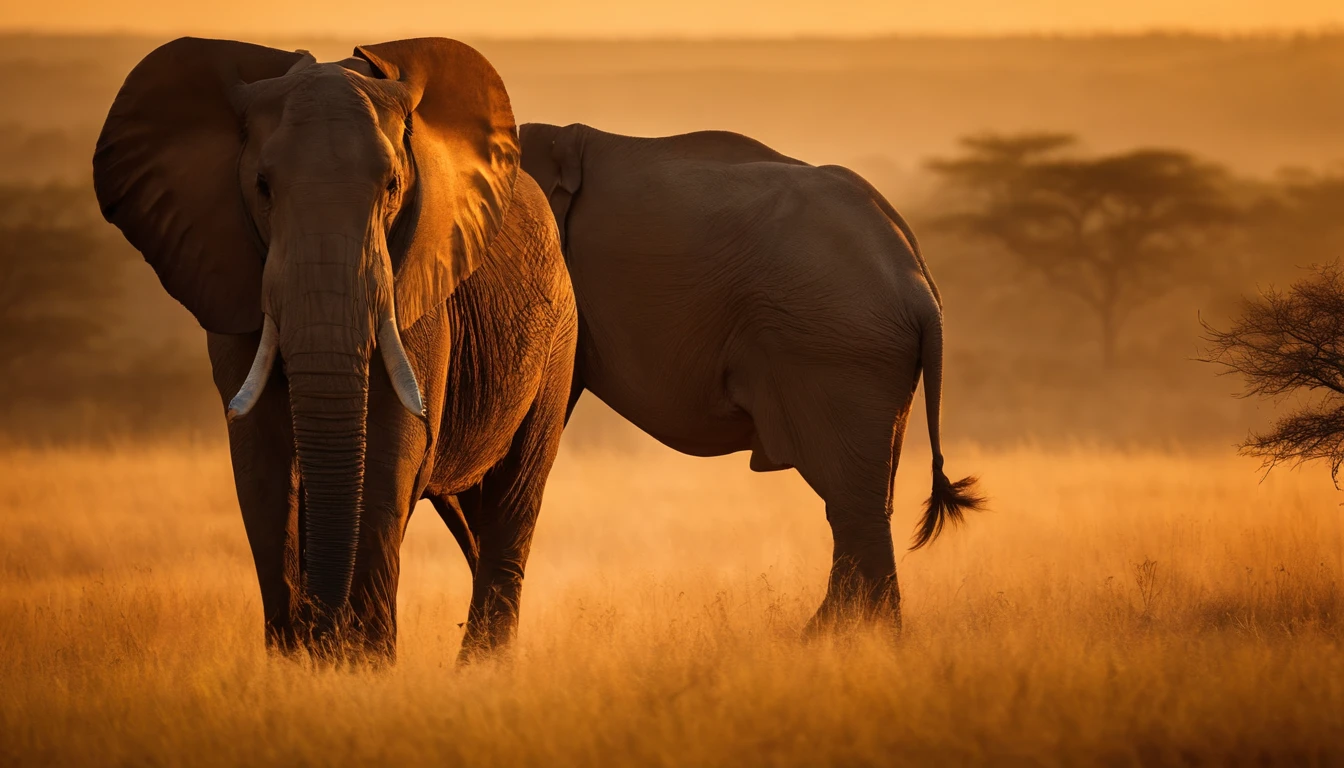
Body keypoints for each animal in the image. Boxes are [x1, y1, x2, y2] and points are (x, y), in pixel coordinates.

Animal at [93, 37, 577, 661]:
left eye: (393, 187)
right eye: (263, 187)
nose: (323, 634)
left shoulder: (413, 286)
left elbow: (394, 447)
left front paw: (362, 668)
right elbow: (261, 463)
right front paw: (296, 667)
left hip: (559, 337)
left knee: (512, 501)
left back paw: (481, 673)